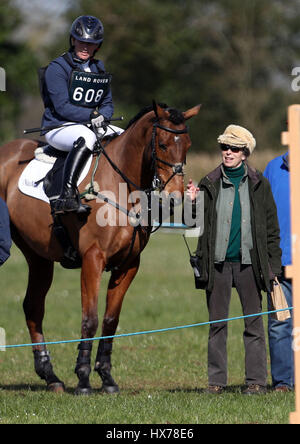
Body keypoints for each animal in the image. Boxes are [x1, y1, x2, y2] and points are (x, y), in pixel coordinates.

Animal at [0, 102, 202, 394]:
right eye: (162, 145)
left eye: (187, 145)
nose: (174, 197)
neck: (121, 188)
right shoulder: (92, 260)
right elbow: (90, 318)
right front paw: (83, 378)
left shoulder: (128, 265)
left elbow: (110, 320)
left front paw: (106, 377)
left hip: (38, 257)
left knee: (33, 306)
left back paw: (50, 376)